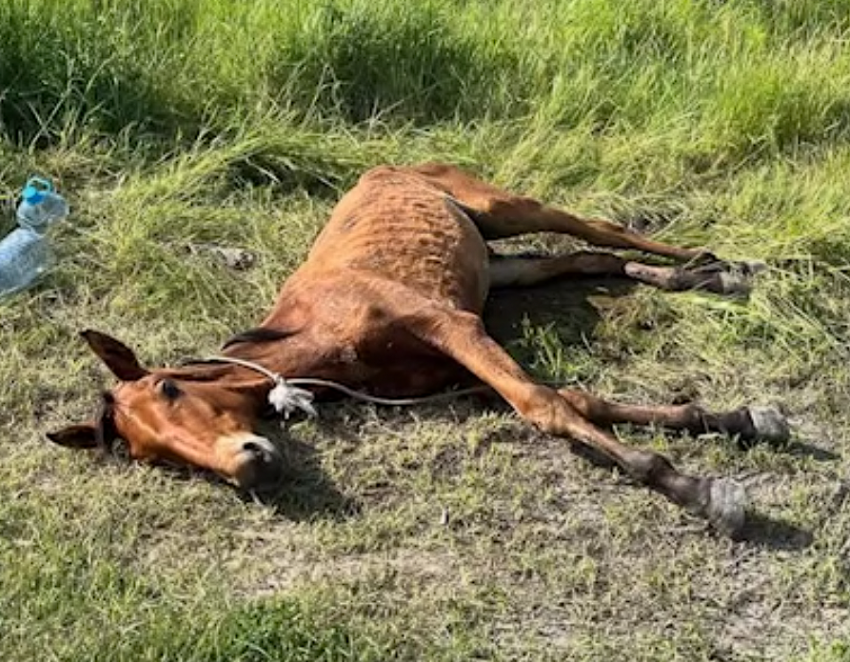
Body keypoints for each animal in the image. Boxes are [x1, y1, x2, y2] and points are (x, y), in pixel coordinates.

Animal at [48, 163, 788, 536]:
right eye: (156, 459)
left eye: (170, 387)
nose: (250, 468)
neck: (321, 336)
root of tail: (389, 163)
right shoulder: (450, 366)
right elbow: (576, 399)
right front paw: (737, 419)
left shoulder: (450, 326)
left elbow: (543, 406)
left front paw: (698, 491)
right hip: (495, 267)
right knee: (578, 259)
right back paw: (699, 277)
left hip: (501, 208)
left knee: (598, 228)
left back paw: (715, 262)